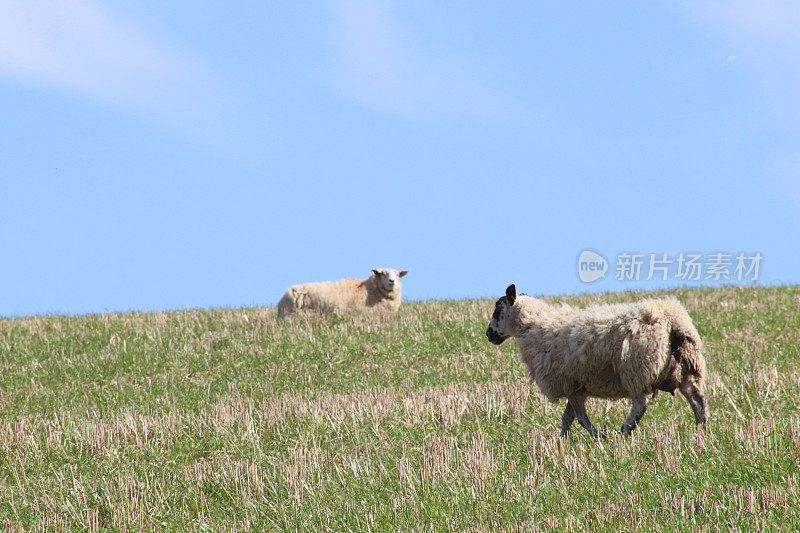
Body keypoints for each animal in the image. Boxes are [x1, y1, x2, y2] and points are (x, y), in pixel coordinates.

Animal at [488, 284, 708, 434]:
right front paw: (562, 441)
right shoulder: (575, 386)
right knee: (697, 400)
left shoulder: (569, 385)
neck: (532, 326)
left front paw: (597, 436)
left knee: (640, 404)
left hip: (637, 368)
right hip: (688, 367)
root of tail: (674, 320)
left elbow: (580, 418)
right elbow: (567, 418)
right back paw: (701, 432)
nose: (488, 334)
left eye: (498, 309)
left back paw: (623, 432)